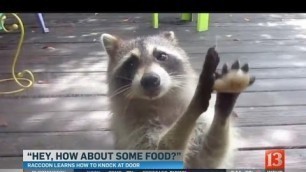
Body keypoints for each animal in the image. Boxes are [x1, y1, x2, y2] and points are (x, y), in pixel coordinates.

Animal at [100, 30, 256, 168]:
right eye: (131, 63)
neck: (160, 102)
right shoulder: (133, 132)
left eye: (161, 56)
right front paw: (195, 102)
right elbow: (162, 153)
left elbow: (207, 158)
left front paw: (225, 101)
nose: (150, 80)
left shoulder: (202, 124)